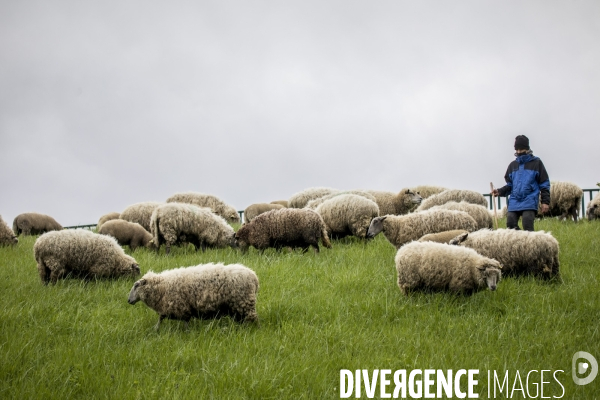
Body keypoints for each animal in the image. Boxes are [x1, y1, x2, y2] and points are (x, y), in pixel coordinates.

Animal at [127, 260, 258, 330]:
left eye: (136, 285)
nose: (128, 300)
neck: (162, 286)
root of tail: (254, 277)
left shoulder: (180, 306)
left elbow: (184, 320)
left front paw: (187, 332)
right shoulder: (168, 306)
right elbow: (161, 318)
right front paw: (156, 329)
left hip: (244, 302)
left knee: (252, 318)